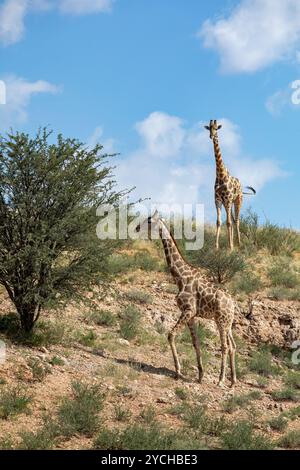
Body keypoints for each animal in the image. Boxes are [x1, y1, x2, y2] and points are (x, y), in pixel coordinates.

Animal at [136, 211, 237, 388]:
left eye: (149, 220)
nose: (136, 227)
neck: (180, 277)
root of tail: (233, 304)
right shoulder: (190, 315)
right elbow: (195, 342)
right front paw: (200, 375)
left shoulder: (188, 310)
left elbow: (171, 335)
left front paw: (178, 371)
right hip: (228, 323)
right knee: (232, 346)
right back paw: (233, 381)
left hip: (221, 321)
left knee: (225, 346)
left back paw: (221, 380)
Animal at [205, 122, 256, 253]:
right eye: (209, 128)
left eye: (216, 128)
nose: (211, 136)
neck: (220, 175)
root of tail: (241, 186)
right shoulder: (218, 200)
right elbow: (219, 222)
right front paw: (216, 246)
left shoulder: (227, 199)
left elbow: (227, 222)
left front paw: (231, 247)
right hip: (228, 203)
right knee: (233, 220)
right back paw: (233, 242)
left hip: (238, 200)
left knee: (236, 220)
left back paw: (238, 243)